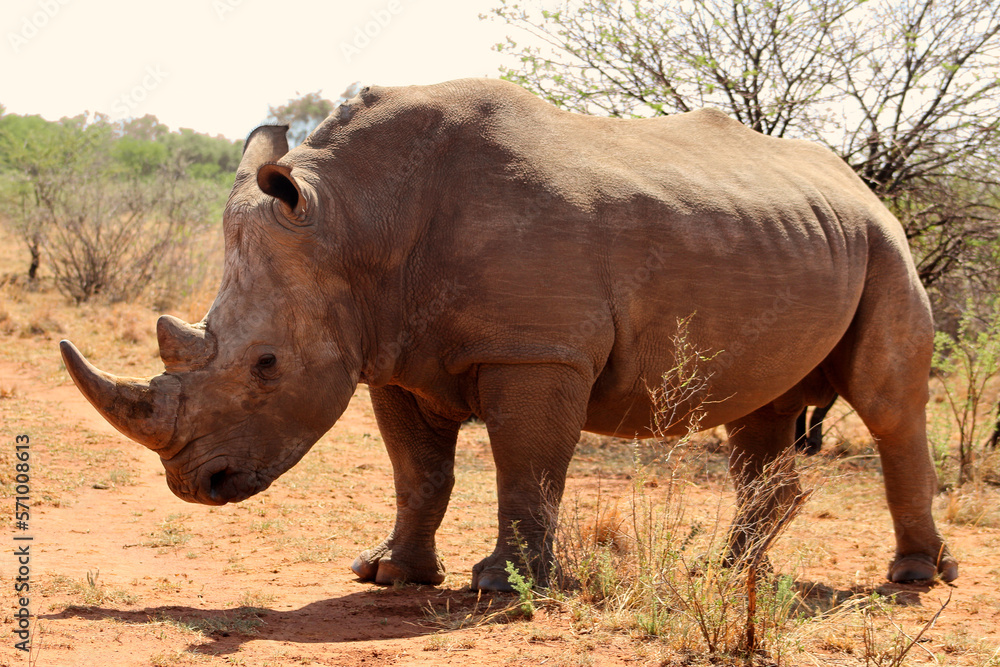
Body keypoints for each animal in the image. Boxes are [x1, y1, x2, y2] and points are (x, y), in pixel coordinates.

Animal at [60, 78, 957, 590]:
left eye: (267, 364)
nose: (197, 484)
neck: (354, 217)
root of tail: (857, 182)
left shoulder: (537, 348)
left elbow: (527, 464)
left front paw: (503, 586)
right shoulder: (391, 351)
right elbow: (418, 473)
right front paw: (389, 574)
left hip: (884, 244)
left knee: (886, 403)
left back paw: (914, 577)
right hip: (796, 236)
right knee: (757, 414)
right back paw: (729, 571)